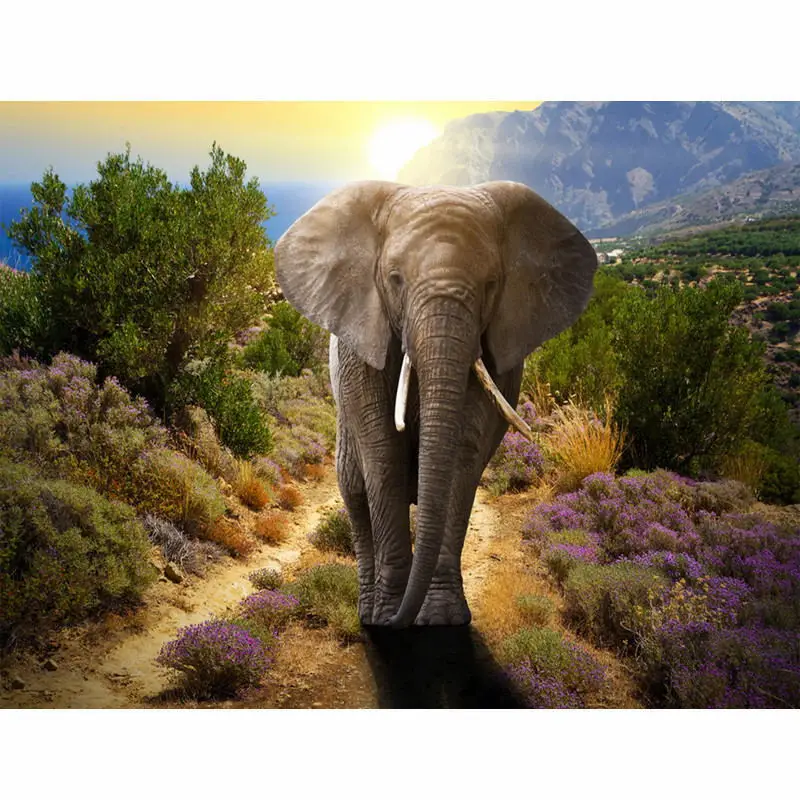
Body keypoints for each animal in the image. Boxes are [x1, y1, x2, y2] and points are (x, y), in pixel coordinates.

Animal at [275, 180, 597, 628]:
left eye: (492, 284)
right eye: (394, 280)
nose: (399, 622)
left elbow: (464, 452)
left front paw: (442, 619)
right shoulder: (362, 343)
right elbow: (383, 454)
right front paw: (388, 617)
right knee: (354, 490)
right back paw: (368, 612)